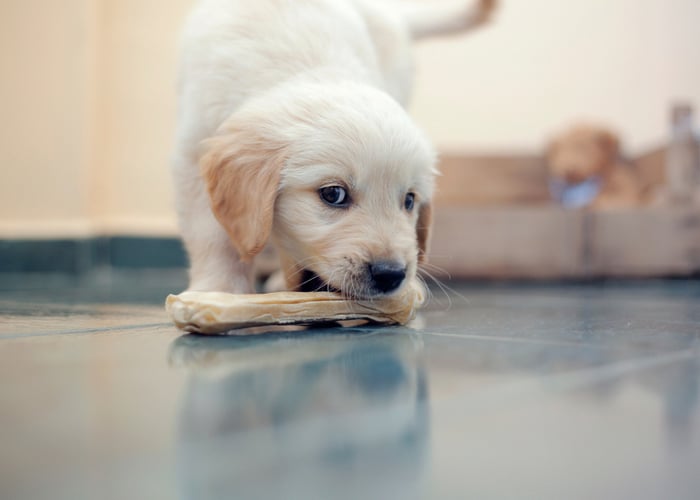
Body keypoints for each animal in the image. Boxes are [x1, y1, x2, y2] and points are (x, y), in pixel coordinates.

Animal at [172, 0, 494, 296]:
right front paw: (218, 289)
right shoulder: (193, 152)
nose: (391, 274)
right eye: (334, 194)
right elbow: (212, 234)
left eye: (409, 200)